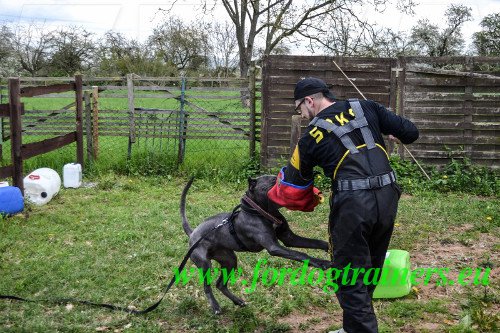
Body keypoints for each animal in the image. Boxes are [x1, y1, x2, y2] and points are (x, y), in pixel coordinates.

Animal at [181, 175, 332, 312]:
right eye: (273, 180)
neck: (261, 211)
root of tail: (193, 233)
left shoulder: (290, 238)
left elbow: (315, 242)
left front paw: (328, 248)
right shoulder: (274, 247)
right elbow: (301, 254)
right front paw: (322, 262)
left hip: (230, 260)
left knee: (220, 284)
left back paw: (238, 301)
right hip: (205, 264)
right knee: (206, 286)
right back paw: (215, 306)